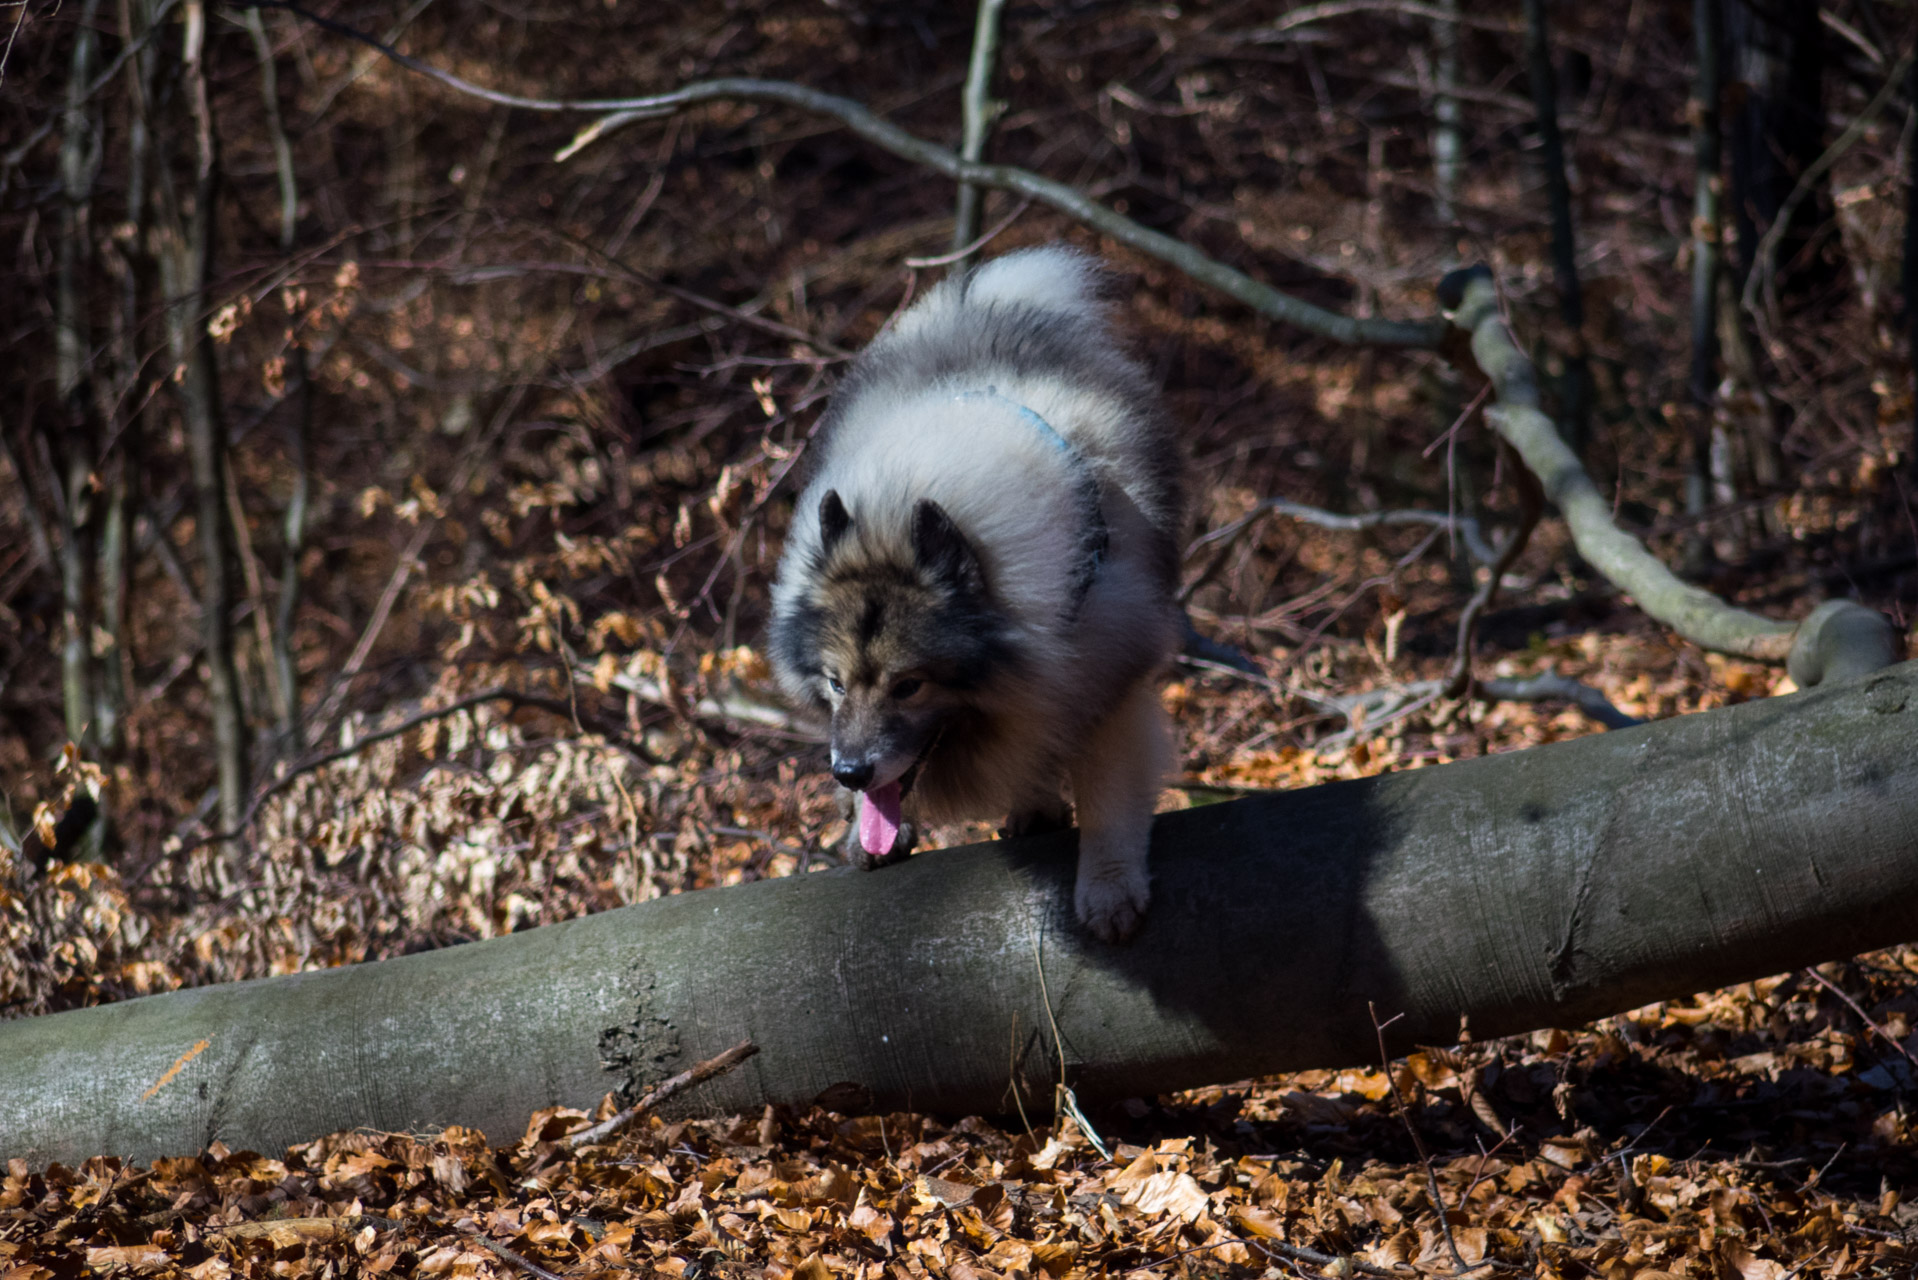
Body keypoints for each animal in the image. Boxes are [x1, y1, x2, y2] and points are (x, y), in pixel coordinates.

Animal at [767, 245, 1181, 940]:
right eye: (834, 683)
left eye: (910, 685)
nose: (847, 771)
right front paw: (867, 829)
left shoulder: (1105, 674)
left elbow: (1107, 794)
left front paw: (1108, 888)